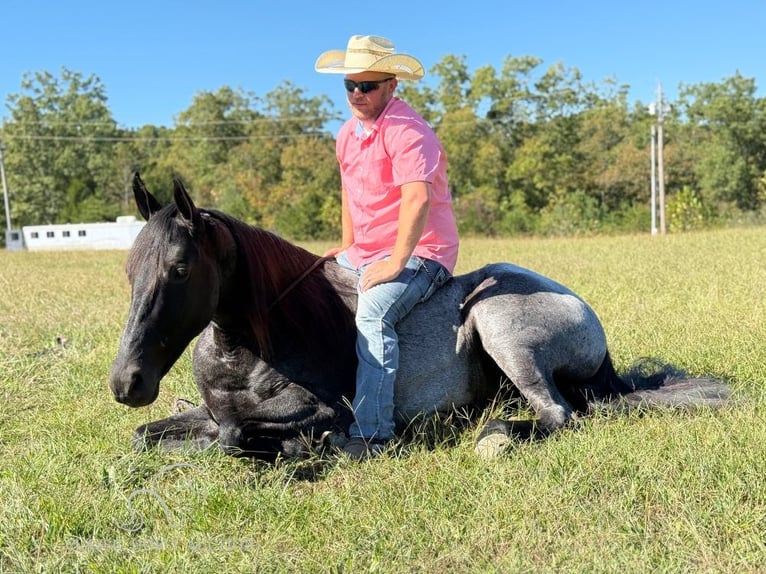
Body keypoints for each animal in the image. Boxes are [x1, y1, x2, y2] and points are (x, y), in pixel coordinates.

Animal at [108, 173, 732, 462]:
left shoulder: (324, 411)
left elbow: (240, 437)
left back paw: (494, 437)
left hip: (497, 322)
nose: (127, 382)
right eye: (129, 268)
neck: (249, 352)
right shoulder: (207, 412)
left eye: (180, 268)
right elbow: (153, 435)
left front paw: (299, 448)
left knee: (558, 414)